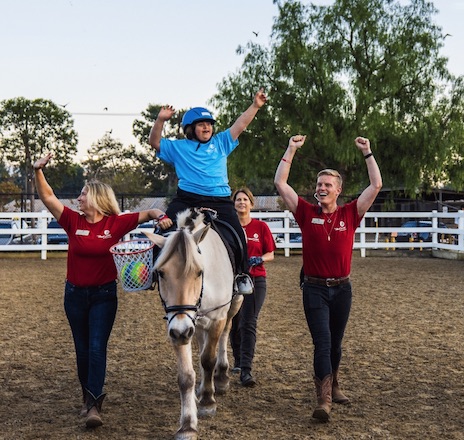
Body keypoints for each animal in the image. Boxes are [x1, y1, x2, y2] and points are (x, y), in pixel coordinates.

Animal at [145, 208, 243, 438]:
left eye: (199, 272)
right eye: (161, 273)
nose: (182, 330)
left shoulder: (216, 318)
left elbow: (208, 359)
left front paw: (207, 401)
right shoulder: (177, 328)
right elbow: (186, 376)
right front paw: (188, 425)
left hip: (233, 306)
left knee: (224, 336)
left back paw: (221, 377)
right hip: (193, 325)